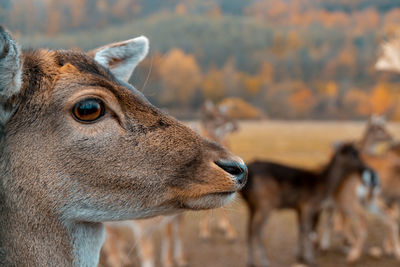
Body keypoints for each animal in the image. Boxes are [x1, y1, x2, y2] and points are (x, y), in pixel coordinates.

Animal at [242, 144, 376, 267]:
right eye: (354, 154)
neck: (322, 185)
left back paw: (250, 262)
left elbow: (301, 229)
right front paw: (310, 259)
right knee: (257, 229)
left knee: (248, 230)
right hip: (266, 203)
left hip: (251, 206)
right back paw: (265, 261)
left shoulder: (299, 208)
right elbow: (307, 230)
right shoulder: (308, 205)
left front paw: (300, 255)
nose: (367, 168)